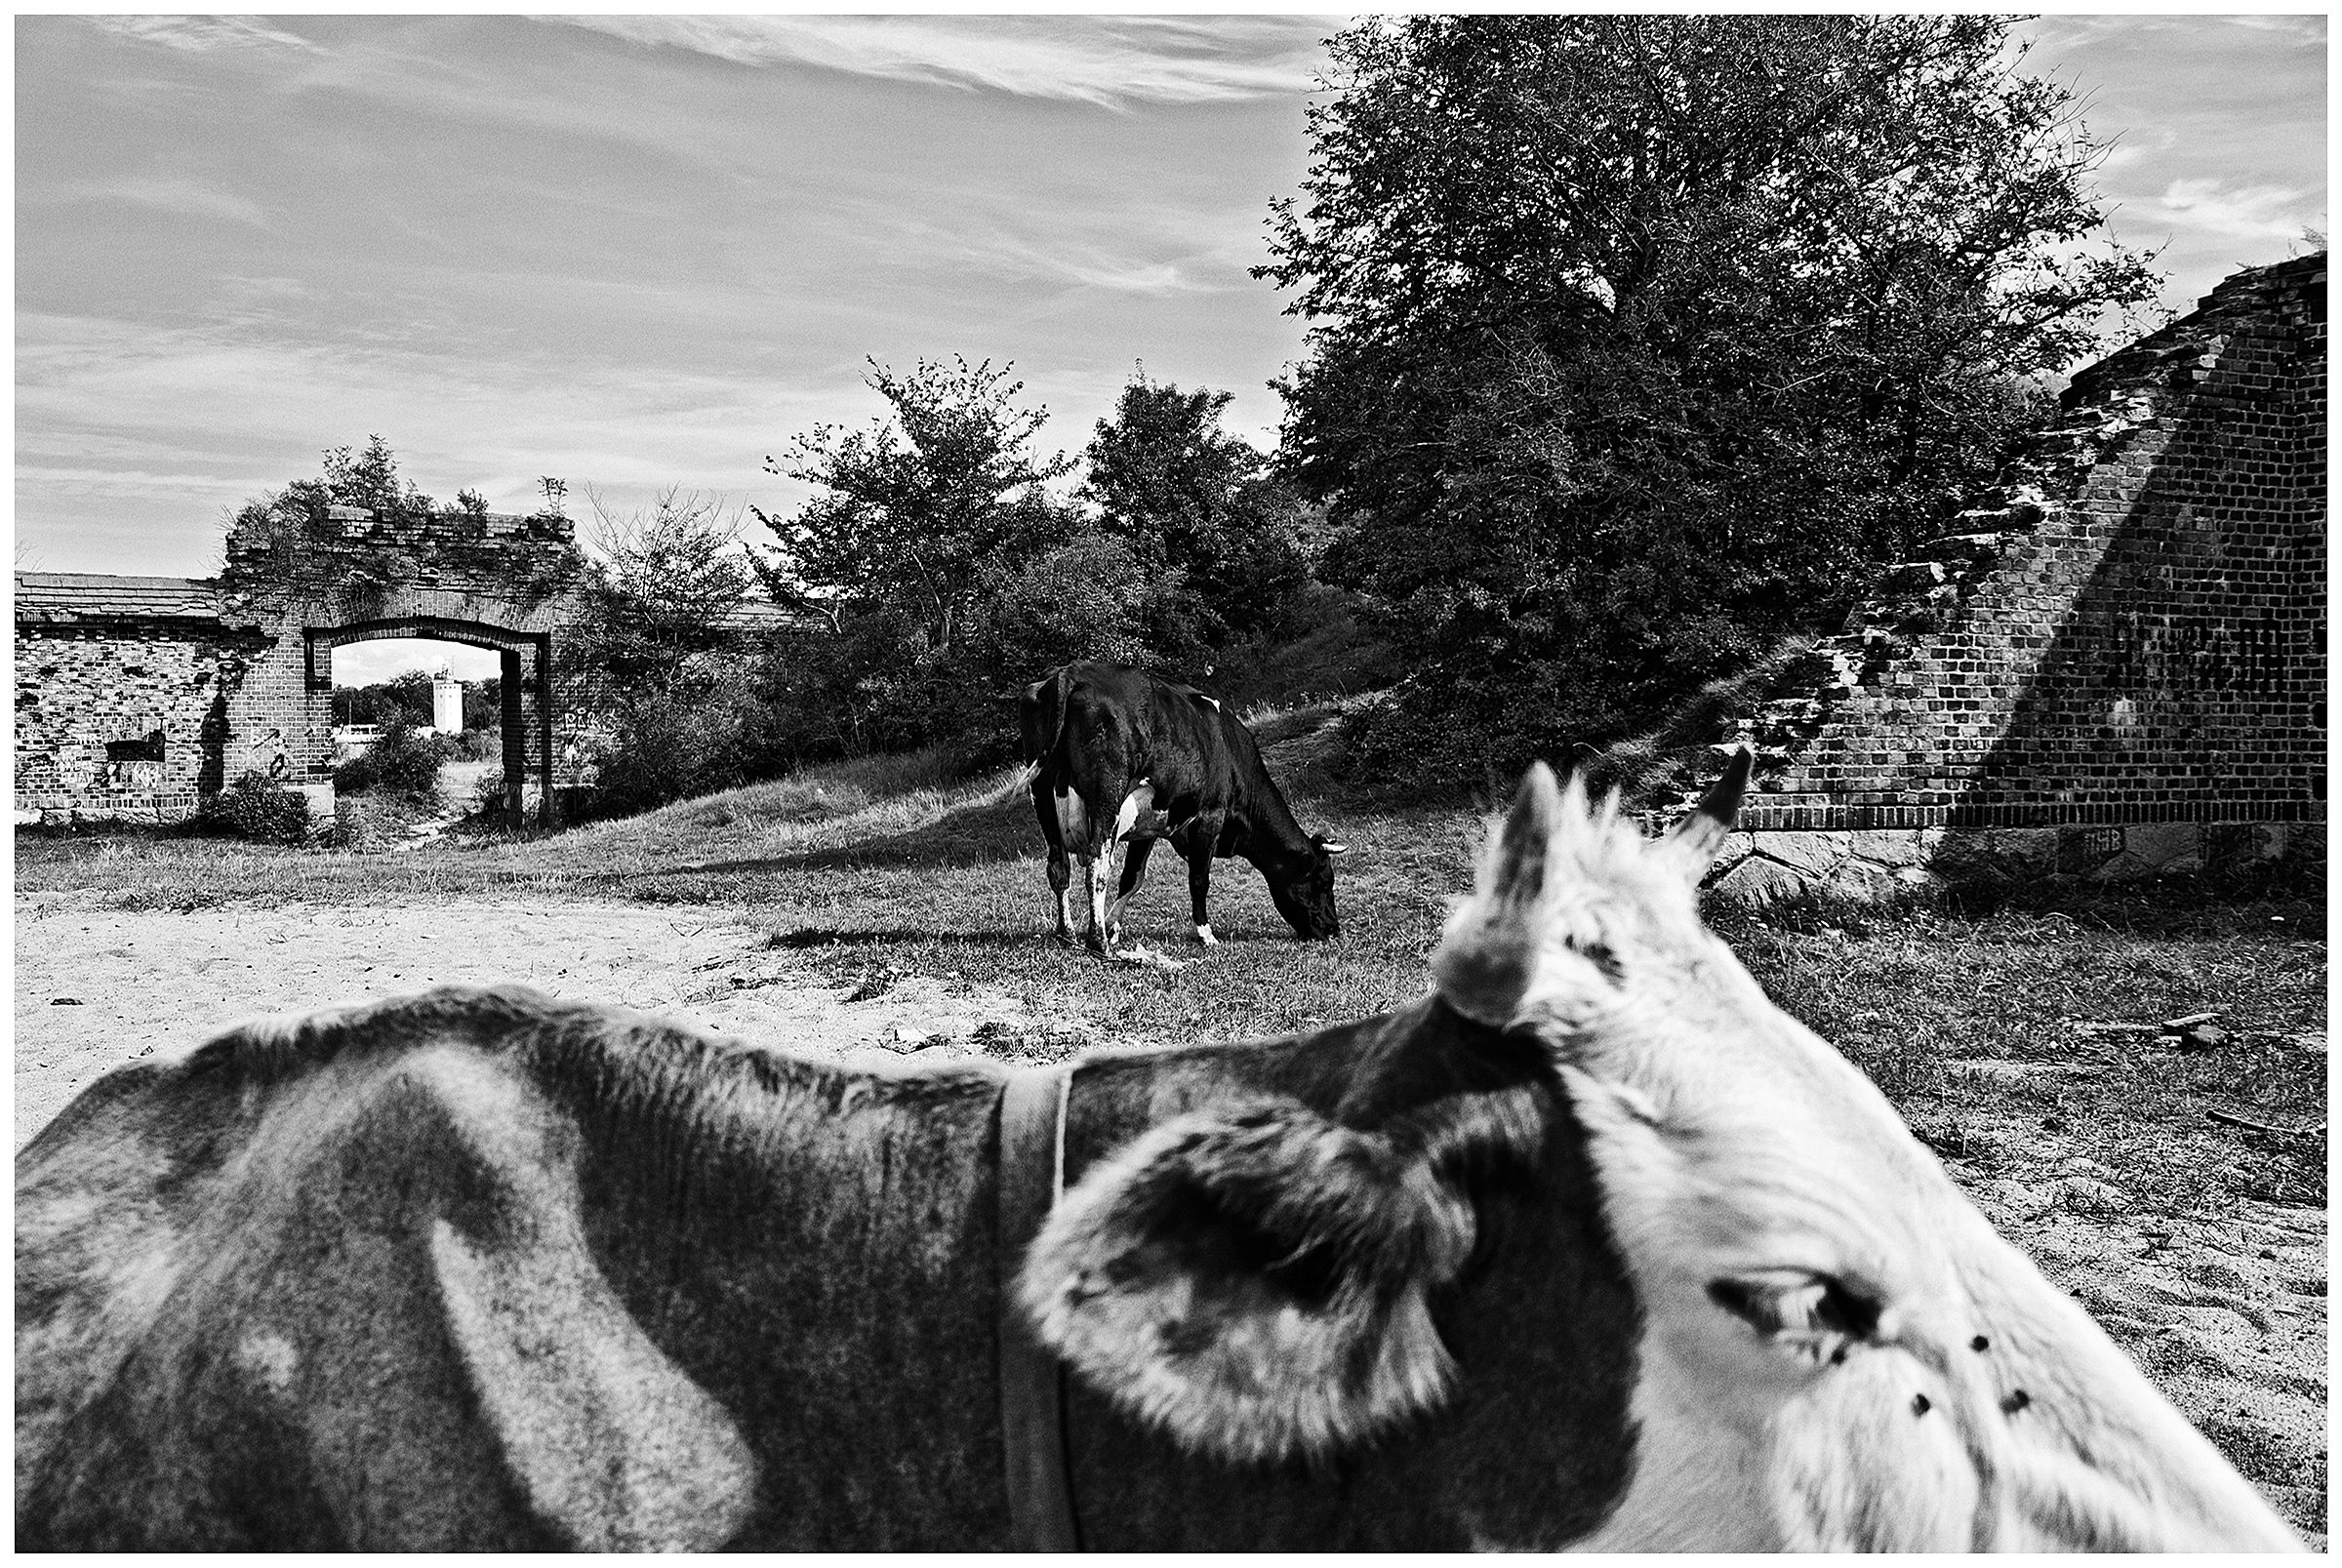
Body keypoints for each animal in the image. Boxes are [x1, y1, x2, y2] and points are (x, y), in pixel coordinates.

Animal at [1020, 662, 1344, 955]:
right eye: (1323, 881)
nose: (1333, 929)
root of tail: (1073, 671)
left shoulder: (1148, 825)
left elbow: (1132, 878)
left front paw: (1113, 926)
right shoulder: (1210, 817)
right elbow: (1199, 879)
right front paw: (1205, 934)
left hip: (1043, 795)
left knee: (1059, 868)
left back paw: (1068, 934)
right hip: (1106, 797)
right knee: (1097, 868)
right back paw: (1097, 942)